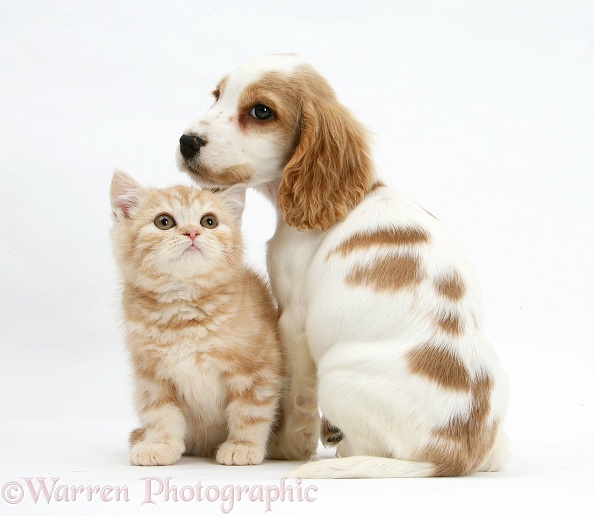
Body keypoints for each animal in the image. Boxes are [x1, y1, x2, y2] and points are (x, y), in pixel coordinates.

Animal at [110, 171, 282, 466]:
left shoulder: (258, 368)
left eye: (209, 221)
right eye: (164, 221)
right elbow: (160, 414)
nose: (192, 232)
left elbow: (250, 411)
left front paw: (242, 446)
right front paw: (159, 445)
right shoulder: (153, 377)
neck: (184, 314)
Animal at [176, 54, 508, 478]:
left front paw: (285, 446)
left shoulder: (293, 319)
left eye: (262, 111)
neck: (347, 197)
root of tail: (451, 456)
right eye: (217, 95)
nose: (186, 142)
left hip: (336, 374)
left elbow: (295, 392)